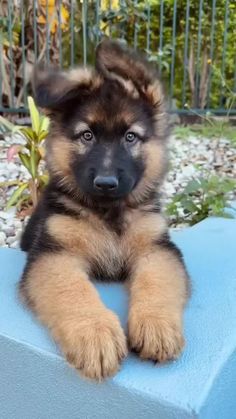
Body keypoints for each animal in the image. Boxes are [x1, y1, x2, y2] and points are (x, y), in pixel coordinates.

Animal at [19, 41, 190, 382]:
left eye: (130, 137)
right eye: (87, 135)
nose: (106, 183)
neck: (109, 213)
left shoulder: (158, 248)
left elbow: (157, 280)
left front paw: (156, 325)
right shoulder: (53, 254)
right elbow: (71, 290)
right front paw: (94, 334)